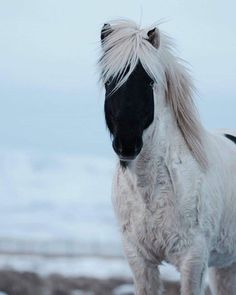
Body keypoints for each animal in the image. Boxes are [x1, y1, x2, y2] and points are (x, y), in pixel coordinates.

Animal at [98, 19, 236, 294]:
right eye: (109, 81)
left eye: (149, 82)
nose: (127, 144)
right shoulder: (139, 259)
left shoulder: (194, 260)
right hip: (225, 266)